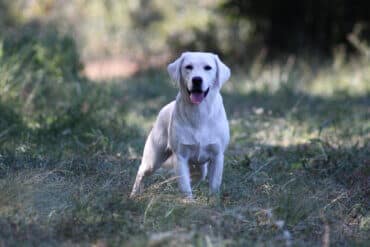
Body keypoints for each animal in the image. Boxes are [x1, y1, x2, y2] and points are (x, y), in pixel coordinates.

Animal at [129, 52, 230, 199]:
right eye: (188, 67)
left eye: (208, 67)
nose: (197, 80)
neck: (199, 113)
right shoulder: (181, 156)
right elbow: (184, 185)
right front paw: (189, 202)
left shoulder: (217, 155)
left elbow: (214, 184)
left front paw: (213, 200)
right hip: (153, 158)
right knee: (141, 171)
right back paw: (134, 194)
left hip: (199, 167)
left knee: (196, 175)